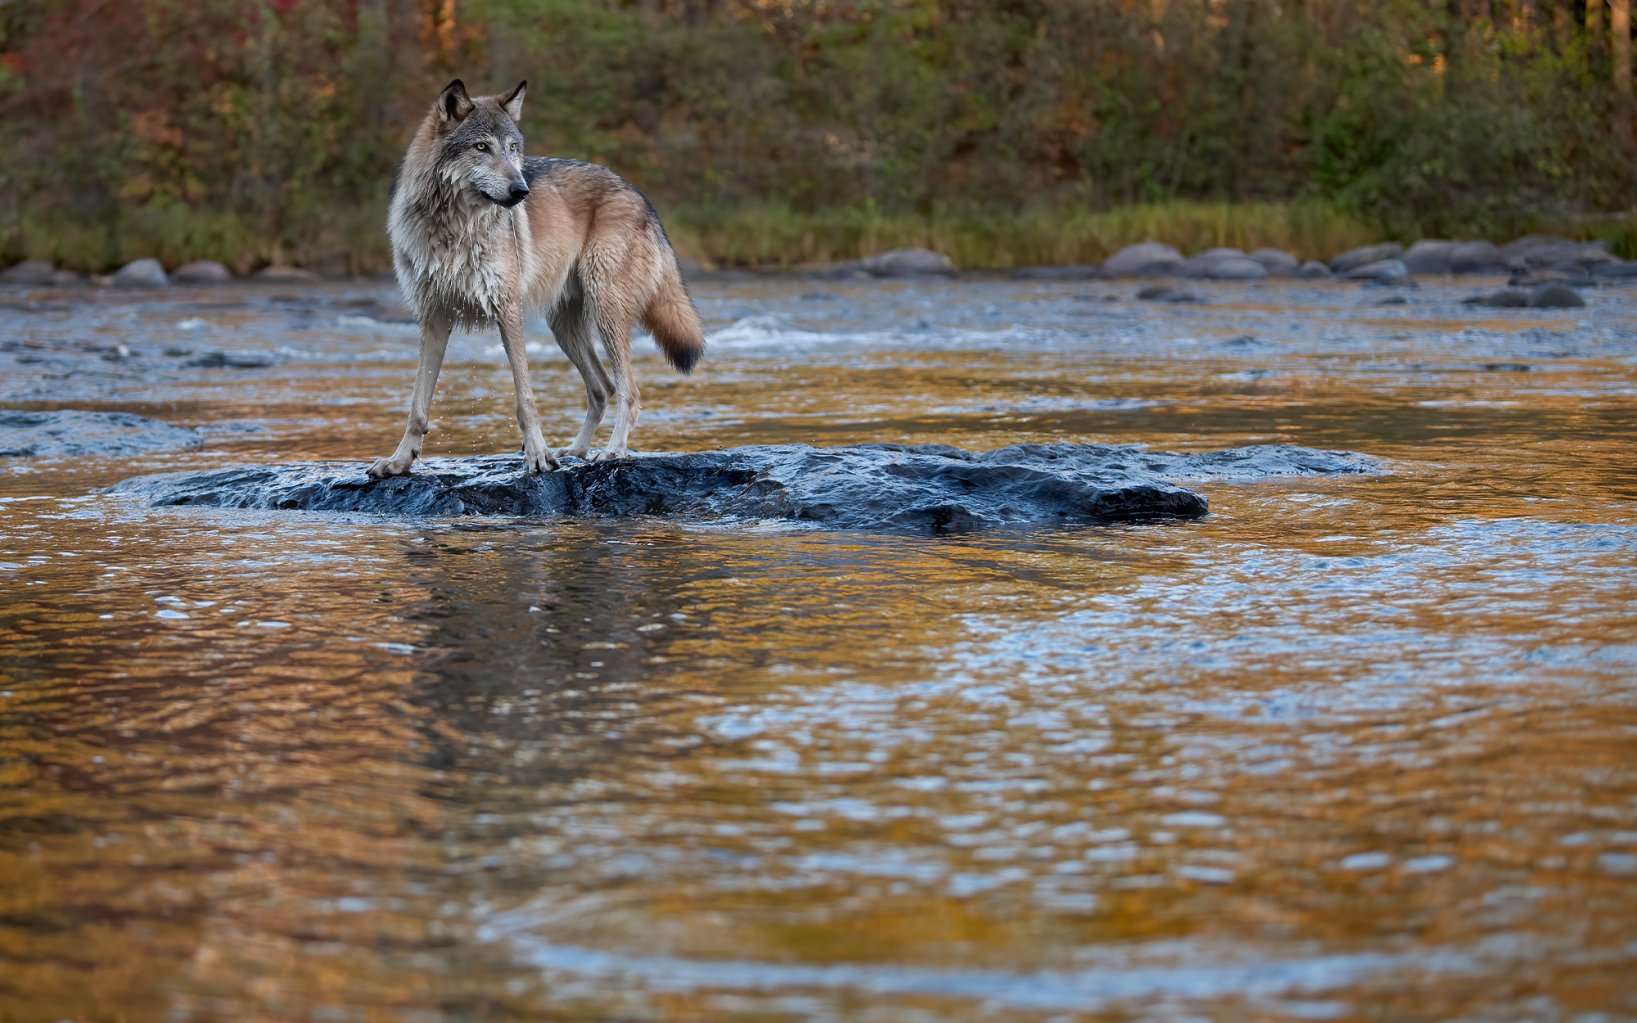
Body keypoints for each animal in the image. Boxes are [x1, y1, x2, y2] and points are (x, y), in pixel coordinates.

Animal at [368, 78, 705, 478]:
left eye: (513, 148)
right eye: (482, 147)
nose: (521, 190)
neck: (455, 228)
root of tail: (638, 194)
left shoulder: (507, 310)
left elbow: (525, 399)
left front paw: (538, 455)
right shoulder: (434, 319)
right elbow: (417, 406)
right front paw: (400, 460)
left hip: (605, 311)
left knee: (629, 392)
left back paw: (612, 451)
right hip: (564, 327)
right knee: (602, 388)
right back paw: (575, 450)